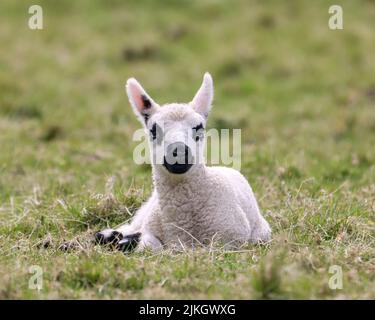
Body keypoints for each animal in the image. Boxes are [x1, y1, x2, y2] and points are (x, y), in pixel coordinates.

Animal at [95, 72, 272, 252]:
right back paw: (108, 235)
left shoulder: (232, 239)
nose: (179, 153)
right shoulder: (152, 229)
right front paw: (123, 241)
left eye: (199, 127)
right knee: (131, 226)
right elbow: (150, 245)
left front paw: (125, 242)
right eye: (153, 130)